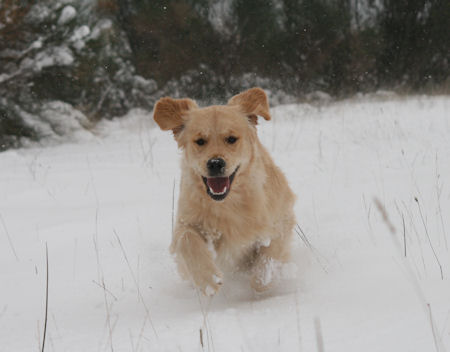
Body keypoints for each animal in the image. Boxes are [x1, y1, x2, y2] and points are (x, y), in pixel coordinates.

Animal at [153, 87, 298, 294]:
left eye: (231, 139)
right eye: (200, 141)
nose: (215, 163)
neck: (228, 204)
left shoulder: (281, 218)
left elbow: (270, 253)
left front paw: (262, 280)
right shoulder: (185, 222)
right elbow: (187, 240)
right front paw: (208, 278)